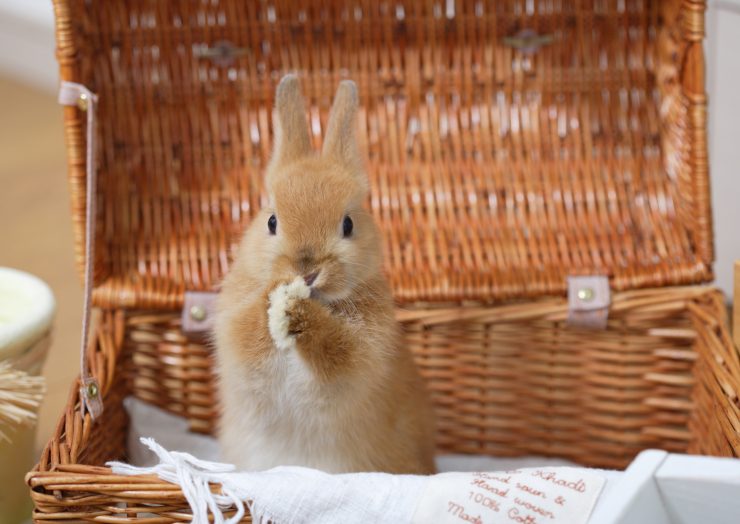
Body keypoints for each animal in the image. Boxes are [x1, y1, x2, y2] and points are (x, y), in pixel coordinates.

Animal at [211, 74, 436, 474]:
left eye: (348, 224)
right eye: (272, 221)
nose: (307, 271)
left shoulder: (358, 359)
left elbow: (335, 349)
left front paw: (299, 314)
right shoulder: (236, 336)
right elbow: (249, 332)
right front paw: (276, 299)